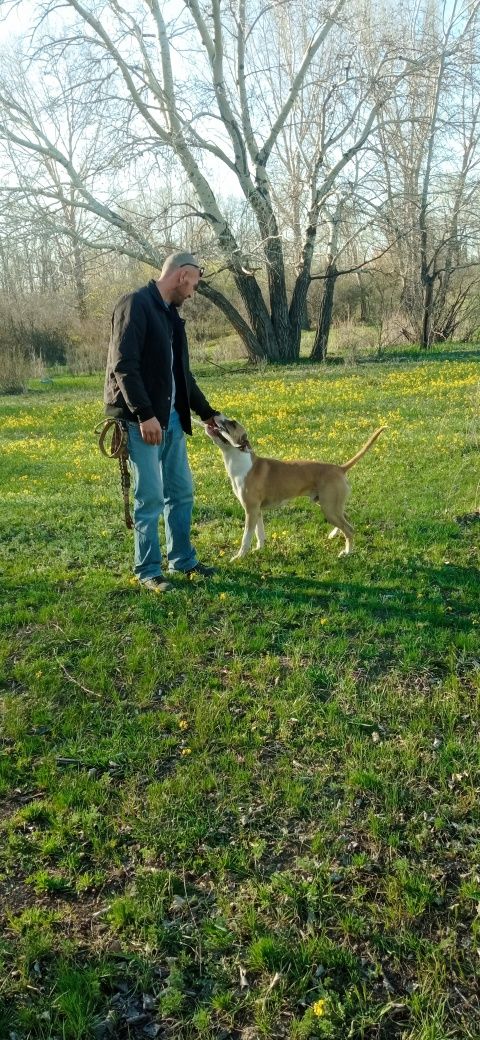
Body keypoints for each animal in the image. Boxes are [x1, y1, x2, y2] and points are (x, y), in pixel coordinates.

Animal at [204, 413, 384, 561]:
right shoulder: (257, 511)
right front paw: (259, 550)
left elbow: (246, 537)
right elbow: (259, 533)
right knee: (346, 519)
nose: (215, 415)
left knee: (349, 529)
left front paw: (239, 557)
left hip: (329, 508)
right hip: (330, 505)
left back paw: (347, 553)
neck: (241, 460)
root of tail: (340, 468)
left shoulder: (251, 510)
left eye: (232, 423)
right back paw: (334, 535)